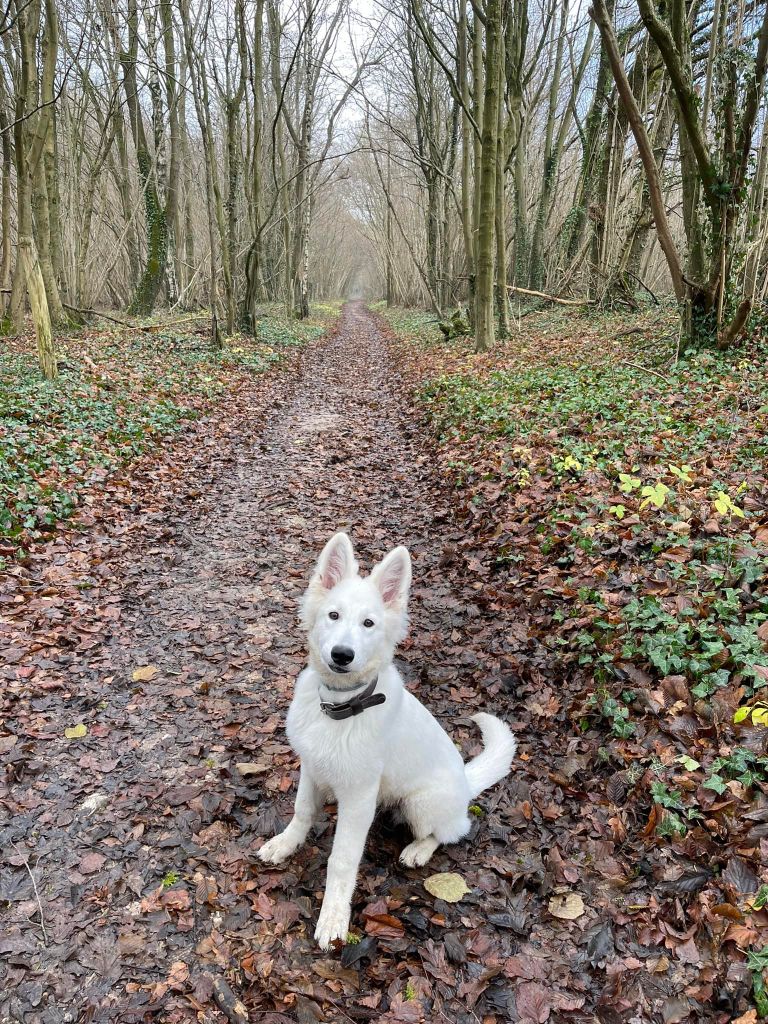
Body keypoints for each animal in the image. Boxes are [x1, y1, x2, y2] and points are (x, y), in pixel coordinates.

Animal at [259, 532, 518, 946]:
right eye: (333, 615)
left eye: (369, 623)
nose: (342, 655)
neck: (341, 707)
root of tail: (466, 782)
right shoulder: (311, 767)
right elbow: (301, 812)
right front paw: (286, 844)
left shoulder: (359, 798)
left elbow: (342, 860)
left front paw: (333, 918)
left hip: (421, 803)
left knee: (453, 830)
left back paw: (419, 850)